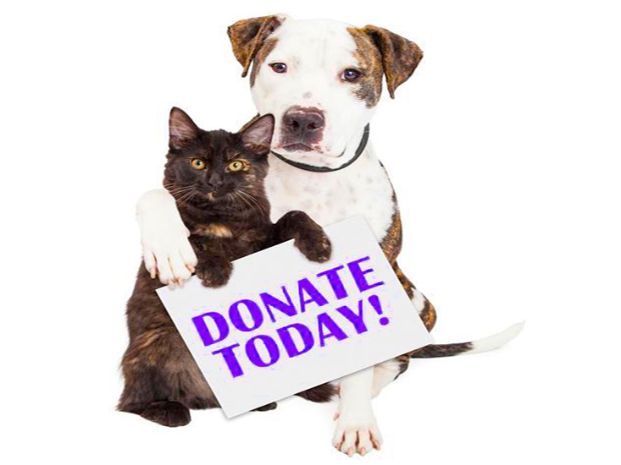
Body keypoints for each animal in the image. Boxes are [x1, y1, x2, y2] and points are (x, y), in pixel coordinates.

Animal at [117, 108, 334, 424]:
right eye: (198, 163)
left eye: (235, 164)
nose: (215, 181)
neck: (221, 220)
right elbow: (194, 239)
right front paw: (216, 270)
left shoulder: (264, 241)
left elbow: (294, 214)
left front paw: (318, 244)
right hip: (156, 342)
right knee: (131, 402)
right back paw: (170, 411)